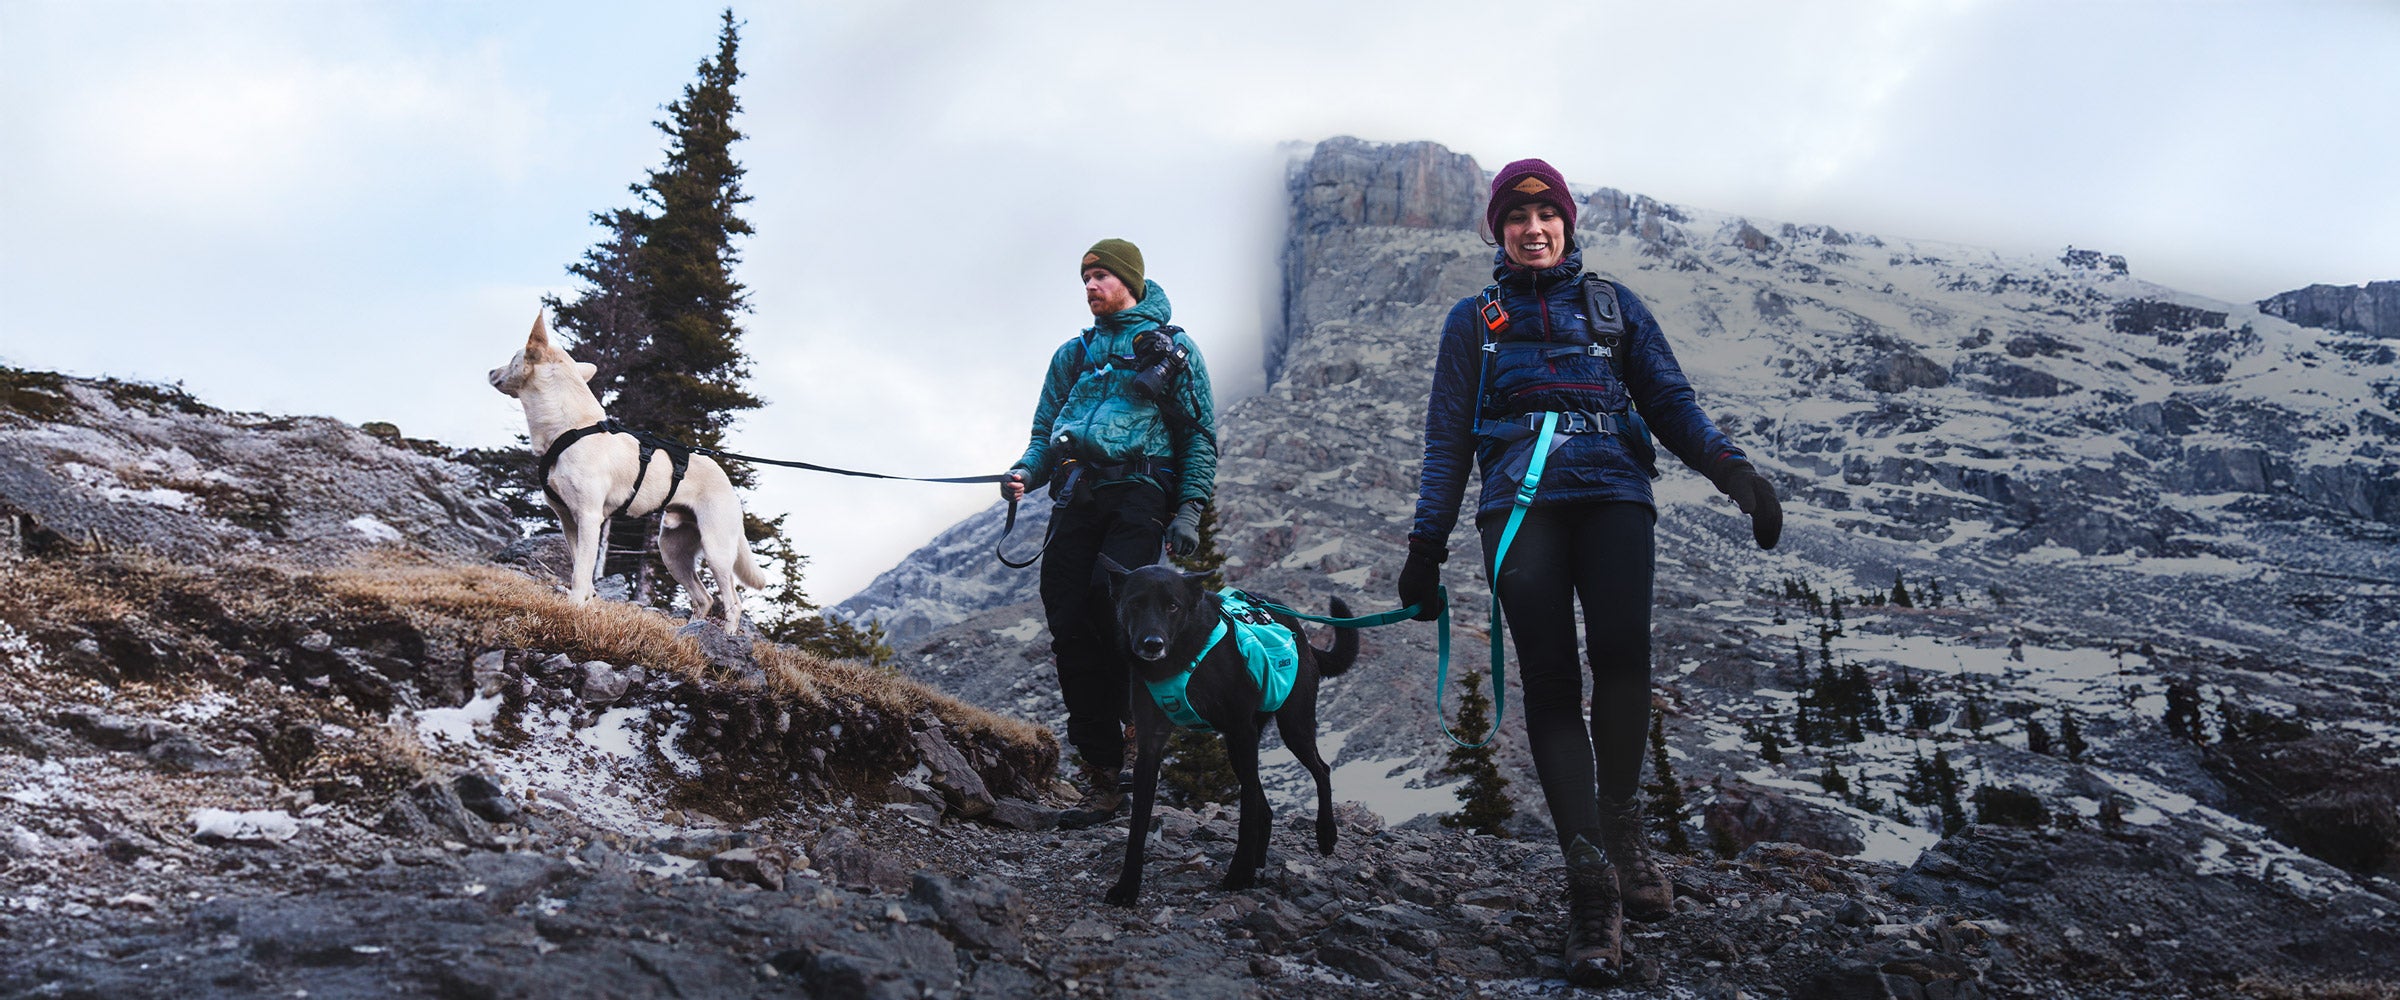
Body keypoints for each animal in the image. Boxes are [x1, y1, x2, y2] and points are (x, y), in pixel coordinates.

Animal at [480, 309, 758, 633]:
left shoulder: (590, 518)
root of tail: (727, 482)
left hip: (717, 549)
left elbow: (581, 573)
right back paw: (687, 634)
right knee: (704, 598)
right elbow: (580, 569)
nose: (490, 371)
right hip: (671, 550)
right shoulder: (568, 520)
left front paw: (573, 611)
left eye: (514, 356)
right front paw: (586, 603)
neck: (569, 428)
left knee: (733, 602)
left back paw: (727, 636)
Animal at [1099, 561, 1363, 901]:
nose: (1152, 644)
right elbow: (1138, 822)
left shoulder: (1241, 729)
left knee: (1321, 770)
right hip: (1239, 749)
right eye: (1135, 603)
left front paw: (1239, 873)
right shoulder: (1150, 744)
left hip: (1293, 726)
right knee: (1265, 805)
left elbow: (1246, 812)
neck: (1182, 657)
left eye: (1173, 606)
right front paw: (1127, 885)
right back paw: (1260, 859)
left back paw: (1325, 833)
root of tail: (1300, 634)